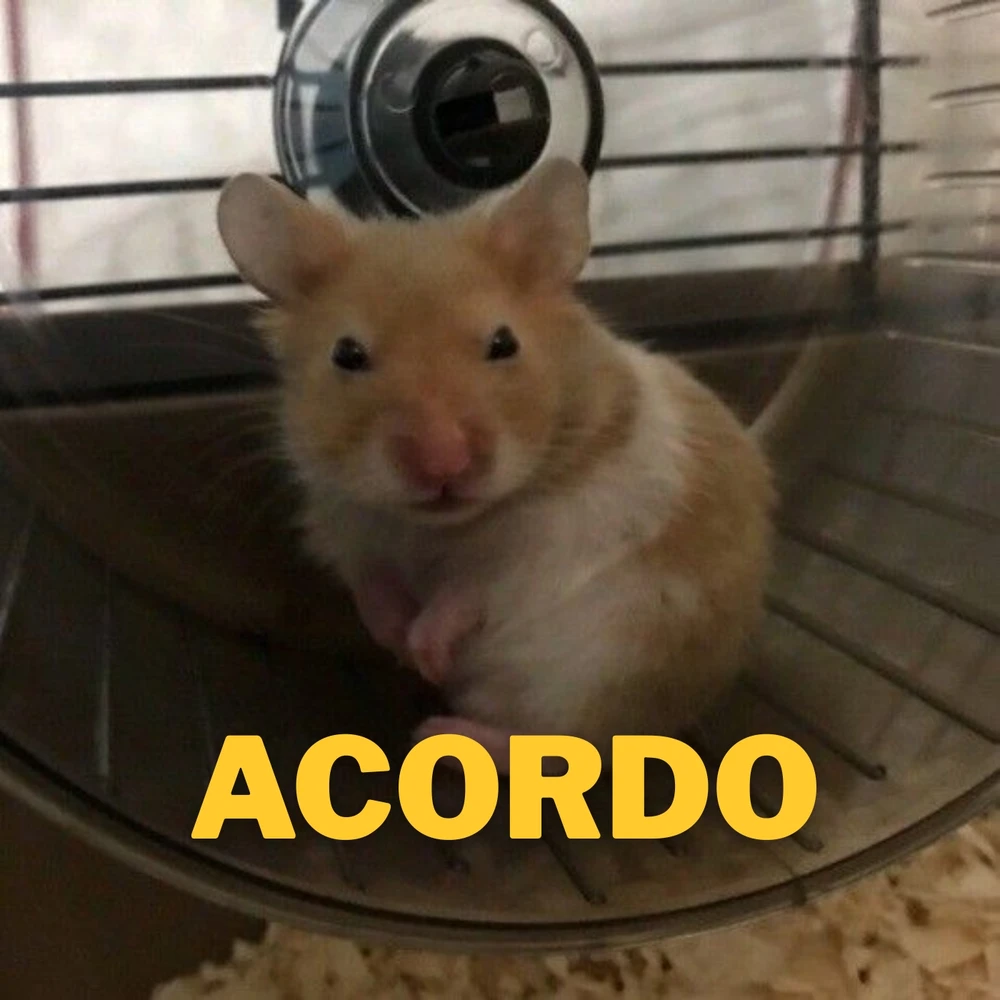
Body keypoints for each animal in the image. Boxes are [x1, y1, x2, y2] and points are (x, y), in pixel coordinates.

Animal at [217, 159, 775, 774]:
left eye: (504, 343)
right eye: (347, 354)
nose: (443, 464)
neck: (441, 528)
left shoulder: (552, 543)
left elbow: (472, 589)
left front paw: (426, 652)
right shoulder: (350, 529)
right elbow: (374, 586)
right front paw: (401, 645)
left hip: (607, 675)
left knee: (561, 748)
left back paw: (442, 733)